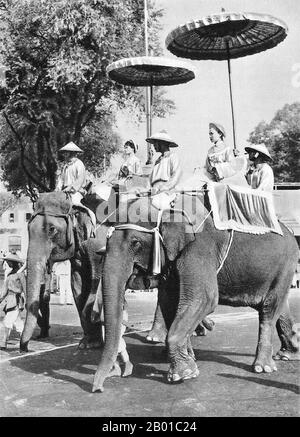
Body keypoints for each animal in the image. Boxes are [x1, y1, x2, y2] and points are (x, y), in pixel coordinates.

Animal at [19, 192, 108, 352]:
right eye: (28, 229)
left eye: (52, 229)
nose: (26, 349)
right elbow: (78, 286)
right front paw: (88, 344)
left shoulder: (99, 243)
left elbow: (98, 283)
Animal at [92, 192, 300, 390]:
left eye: (135, 242)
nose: (98, 388)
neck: (168, 205)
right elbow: (171, 301)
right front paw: (189, 361)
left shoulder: (198, 248)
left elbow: (204, 299)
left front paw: (182, 375)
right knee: (278, 306)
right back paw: (287, 354)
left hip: (286, 264)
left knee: (269, 309)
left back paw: (262, 367)